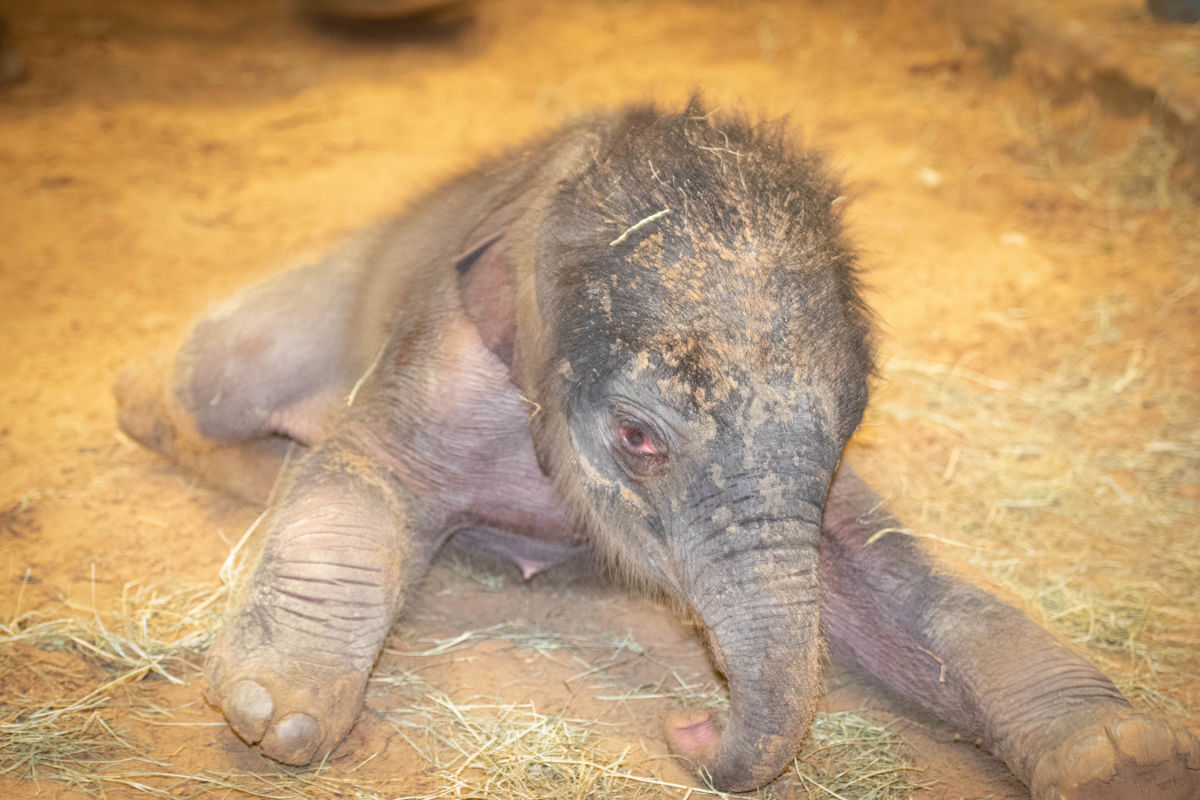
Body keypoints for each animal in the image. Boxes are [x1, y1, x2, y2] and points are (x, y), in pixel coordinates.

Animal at [114, 101, 1200, 800]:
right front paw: (277, 713)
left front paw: (1119, 761)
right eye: (638, 436)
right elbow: (361, 470)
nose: (689, 726)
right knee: (214, 375)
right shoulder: (441, 358)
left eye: (854, 423)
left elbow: (891, 574)